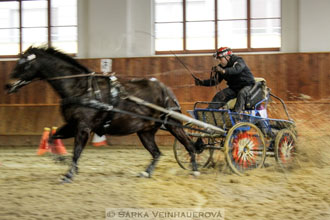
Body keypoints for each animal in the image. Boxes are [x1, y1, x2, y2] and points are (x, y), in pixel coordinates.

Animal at [5, 46, 199, 182]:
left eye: (23, 63)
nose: (7, 85)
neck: (80, 88)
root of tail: (166, 89)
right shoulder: (72, 125)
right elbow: (52, 138)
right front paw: (62, 160)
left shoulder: (83, 127)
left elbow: (77, 151)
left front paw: (69, 174)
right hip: (145, 131)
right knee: (157, 153)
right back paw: (146, 172)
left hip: (174, 124)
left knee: (189, 145)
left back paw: (195, 170)